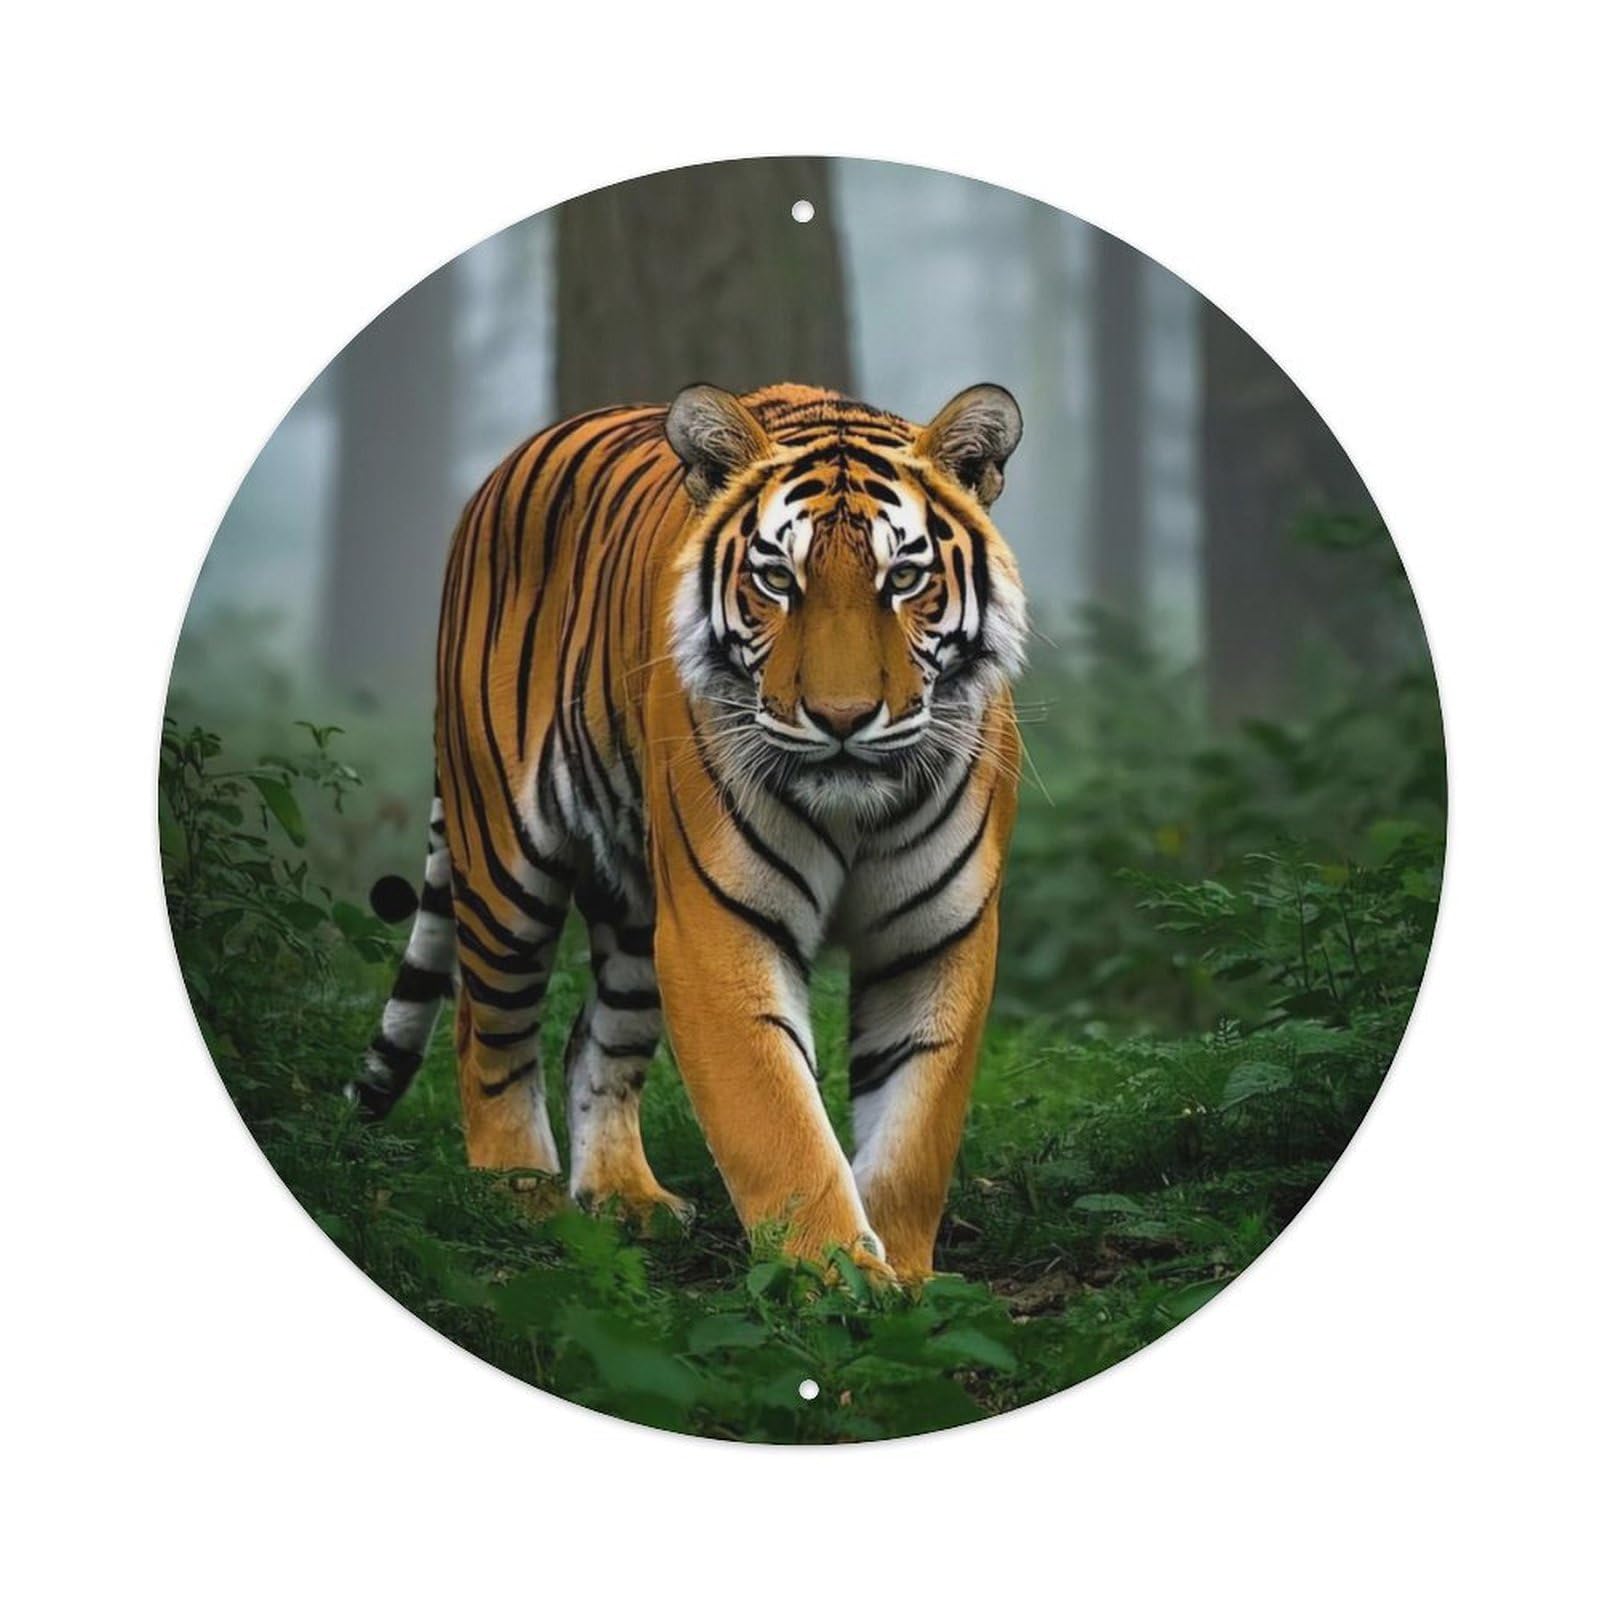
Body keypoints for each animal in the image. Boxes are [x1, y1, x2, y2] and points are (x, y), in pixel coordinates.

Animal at [350, 381, 1027, 1282]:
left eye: (905, 576)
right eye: (776, 578)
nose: (843, 718)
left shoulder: (937, 936)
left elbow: (914, 1131)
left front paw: (910, 1282)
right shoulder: (719, 928)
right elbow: (778, 1122)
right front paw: (838, 1280)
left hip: (637, 910)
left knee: (593, 1042)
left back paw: (624, 1199)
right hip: (503, 861)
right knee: (488, 1034)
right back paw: (520, 1198)